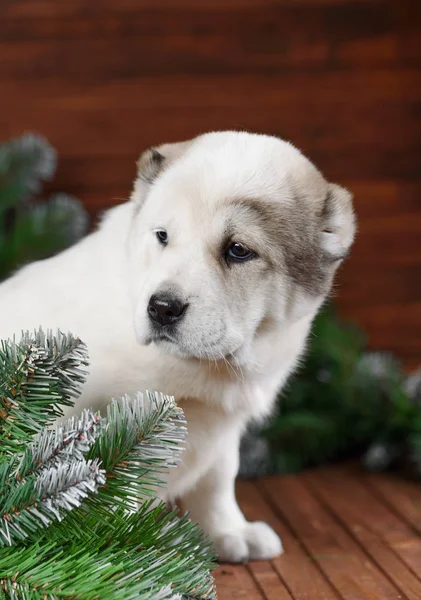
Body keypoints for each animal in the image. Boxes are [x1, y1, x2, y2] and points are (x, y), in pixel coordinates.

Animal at [0, 131, 354, 564]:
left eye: (239, 250)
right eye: (163, 236)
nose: (162, 308)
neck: (201, 367)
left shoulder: (222, 425)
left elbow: (218, 481)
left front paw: (230, 531)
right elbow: (112, 481)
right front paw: (120, 542)